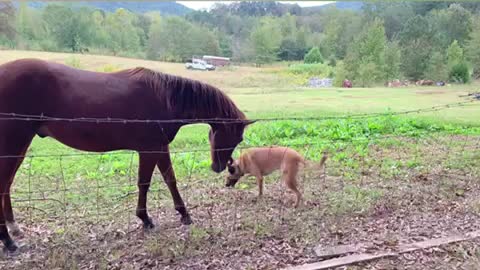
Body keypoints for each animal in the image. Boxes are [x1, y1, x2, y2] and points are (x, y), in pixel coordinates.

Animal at [0, 58, 255, 251]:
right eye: (236, 137)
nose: (220, 167)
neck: (166, 98)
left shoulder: (160, 147)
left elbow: (170, 179)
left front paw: (184, 214)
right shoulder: (149, 149)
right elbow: (144, 183)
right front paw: (145, 219)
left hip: (19, 146)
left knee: (7, 184)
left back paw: (13, 228)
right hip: (13, 142)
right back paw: (8, 241)